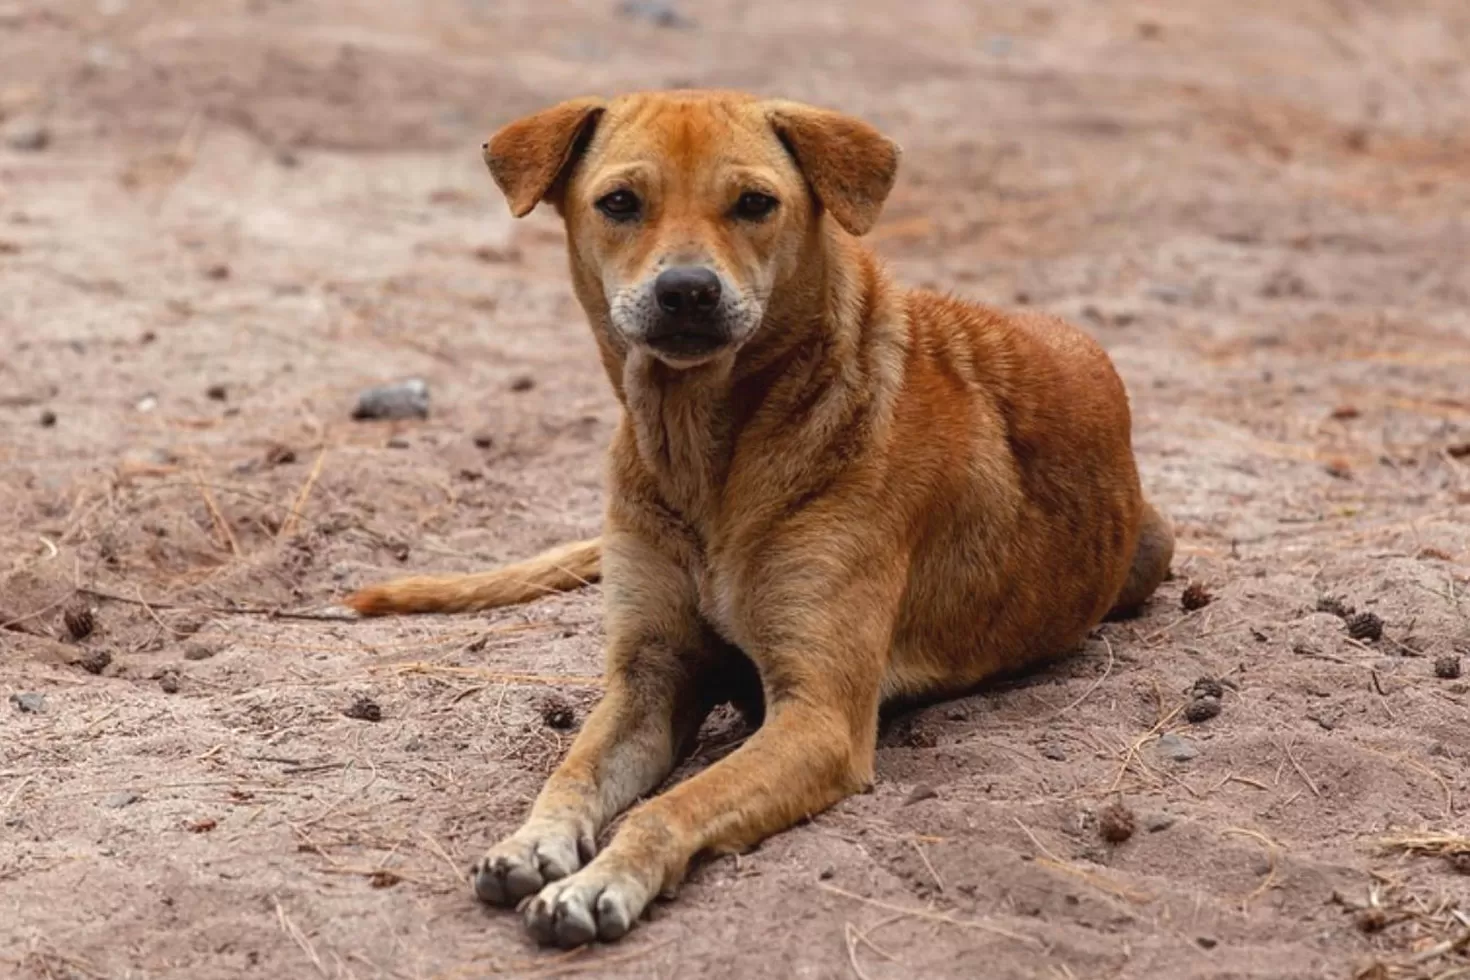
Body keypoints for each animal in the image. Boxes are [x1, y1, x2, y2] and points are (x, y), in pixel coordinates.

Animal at [346, 89, 1170, 952]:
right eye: (620, 202)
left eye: (754, 203)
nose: (687, 291)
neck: (704, 452)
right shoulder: (650, 675)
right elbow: (572, 772)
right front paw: (532, 841)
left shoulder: (819, 717)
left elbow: (669, 806)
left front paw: (601, 881)